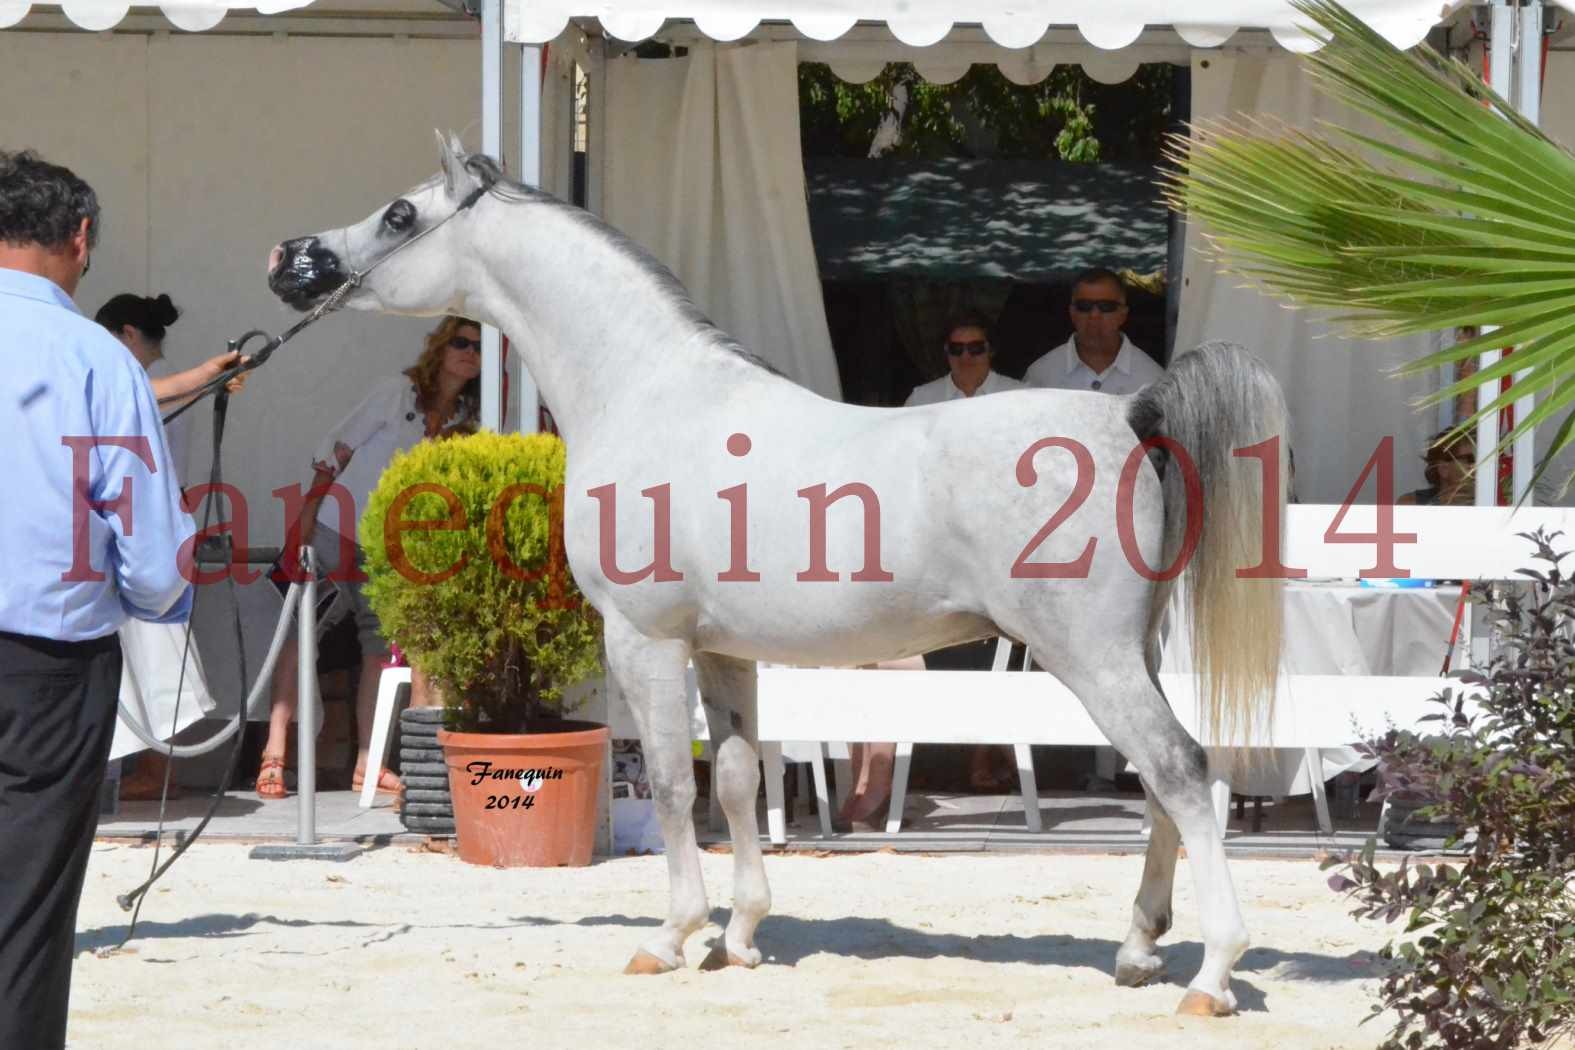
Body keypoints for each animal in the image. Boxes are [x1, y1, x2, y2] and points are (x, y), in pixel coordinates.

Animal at [270, 135, 1285, 1013]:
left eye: (401, 213)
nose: (290, 258)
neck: (651, 393)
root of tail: (1130, 416)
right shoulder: (723, 652)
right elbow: (734, 781)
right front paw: (740, 936)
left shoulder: (644, 640)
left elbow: (672, 789)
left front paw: (671, 936)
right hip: (1130, 652)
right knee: (1162, 780)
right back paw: (1138, 950)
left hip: (1089, 655)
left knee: (1183, 771)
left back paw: (1210, 975)